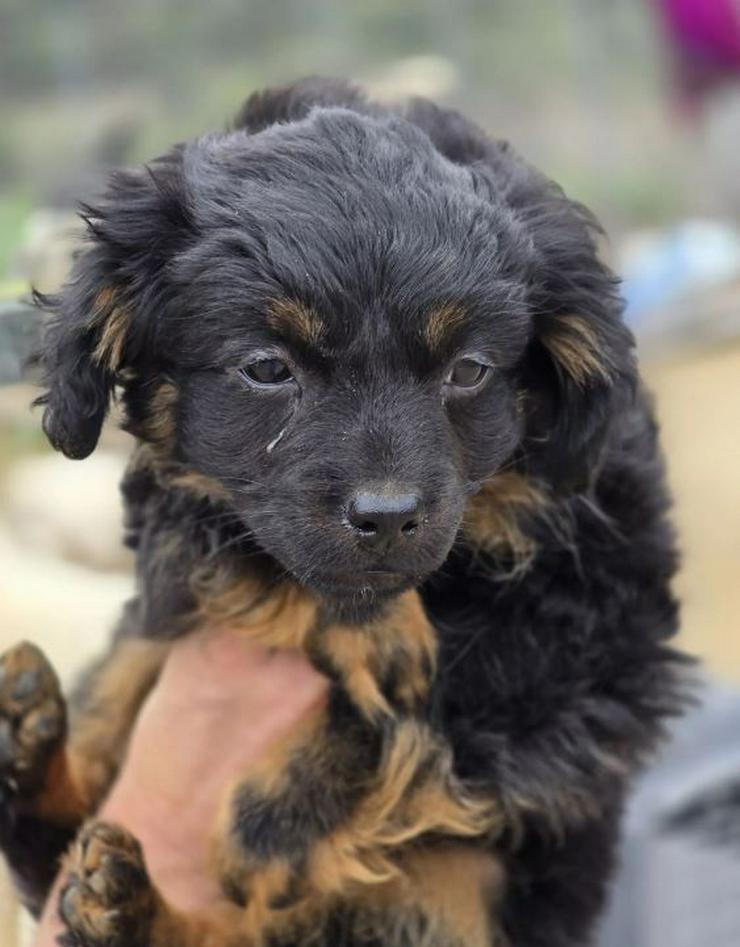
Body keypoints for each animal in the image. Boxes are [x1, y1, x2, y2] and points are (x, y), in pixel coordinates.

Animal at [0, 79, 684, 947]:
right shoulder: (186, 529)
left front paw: (276, 818)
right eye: (266, 369)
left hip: (435, 902)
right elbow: (218, 567)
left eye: (468, 370)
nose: (388, 516)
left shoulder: (604, 622)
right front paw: (366, 627)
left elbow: (466, 679)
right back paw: (34, 765)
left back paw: (122, 896)